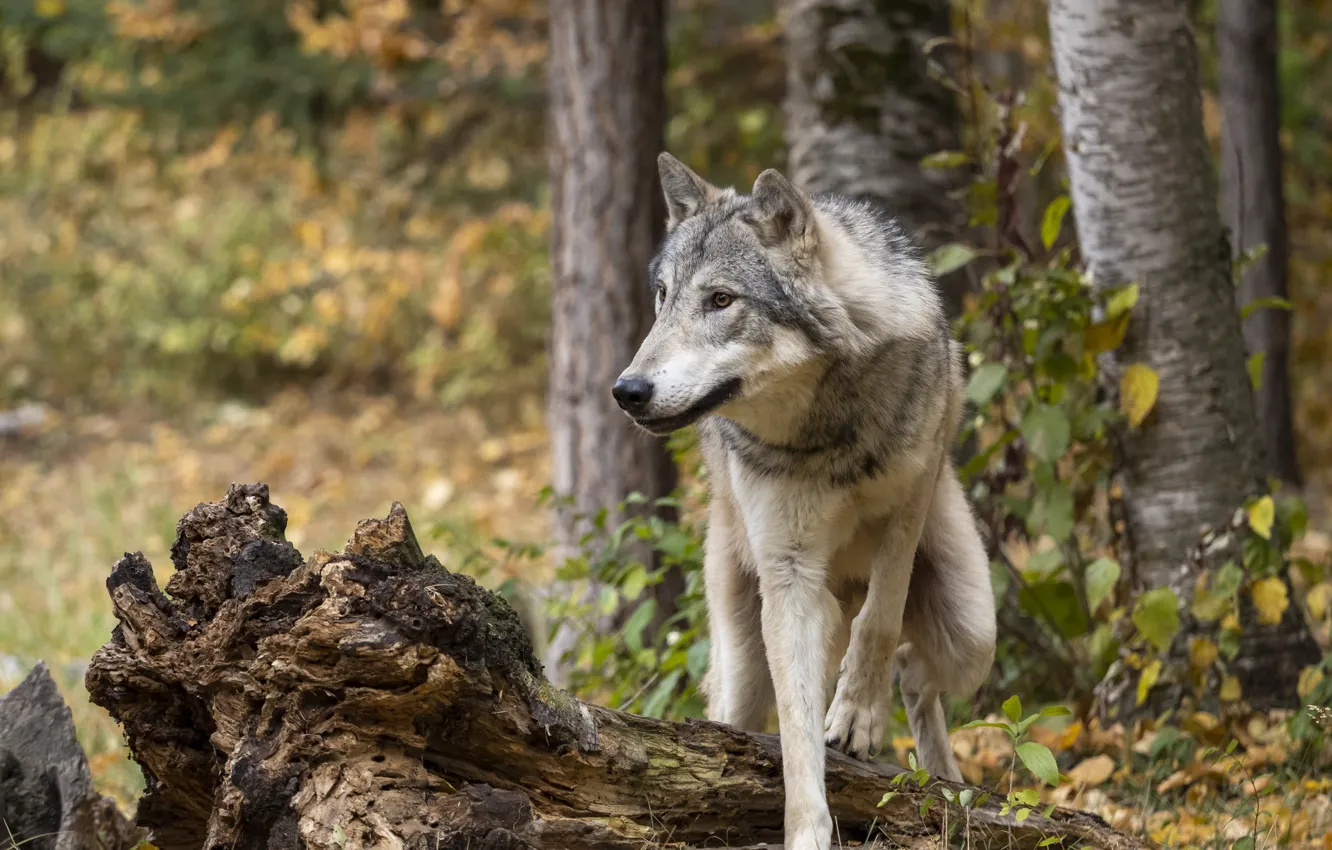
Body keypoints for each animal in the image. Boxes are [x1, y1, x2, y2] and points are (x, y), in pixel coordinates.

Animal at [612, 154, 997, 850]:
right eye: (662, 296)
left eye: (720, 300)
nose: (626, 391)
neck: (829, 431)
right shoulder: (789, 575)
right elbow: (795, 737)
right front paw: (809, 830)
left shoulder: (910, 502)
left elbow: (881, 617)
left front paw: (857, 714)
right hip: (745, 658)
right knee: (743, 713)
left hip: (972, 629)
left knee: (916, 670)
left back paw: (947, 787)